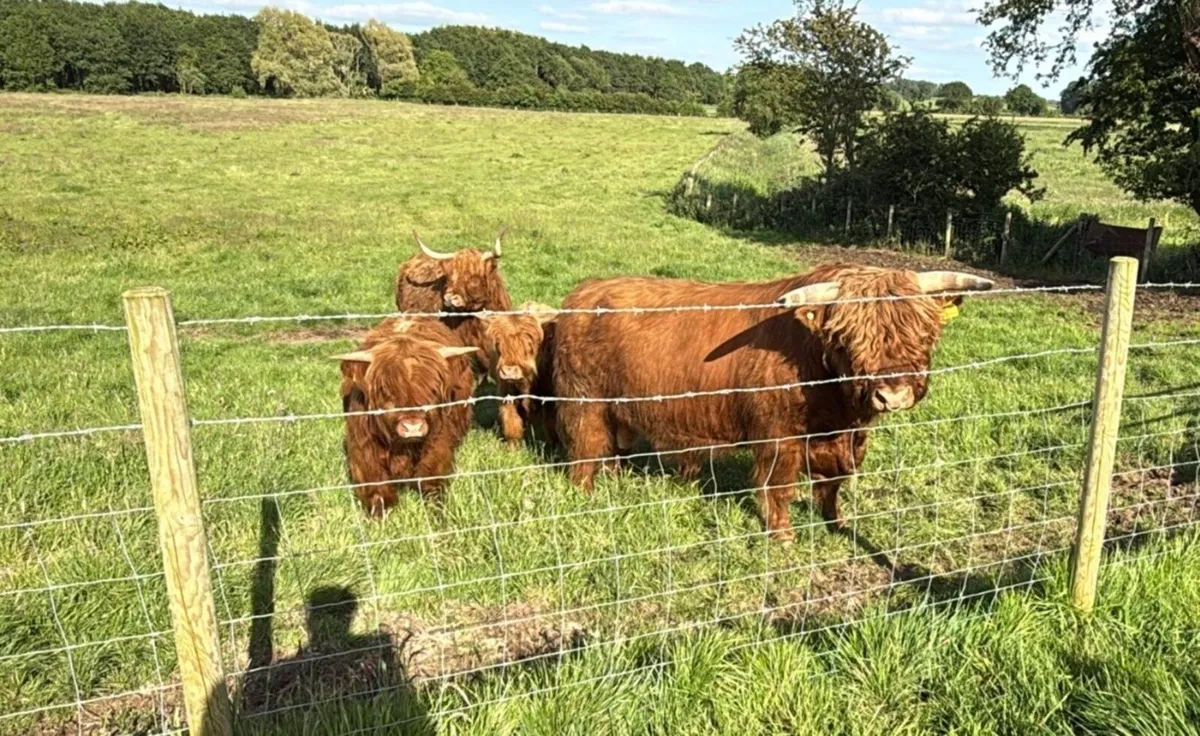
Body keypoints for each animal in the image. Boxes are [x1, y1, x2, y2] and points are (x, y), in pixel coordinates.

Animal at [335, 318, 478, 517]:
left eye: (432, 390)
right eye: (386, 391)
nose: (413, 427)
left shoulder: (438, 443)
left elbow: (432, 483)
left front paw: (437, 514)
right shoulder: (364, 448)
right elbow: (376, 490)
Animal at [479, 302, 559, 448]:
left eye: (529, 344)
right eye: (499, 344)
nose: (509, 371)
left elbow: (551, 424)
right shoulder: (506, 391)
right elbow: (511, 419)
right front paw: (513, 447)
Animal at [551, 263, 993, 540]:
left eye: (924, 332)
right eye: (848, 338)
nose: (893, 394)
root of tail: (582, 293)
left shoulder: (842, 440)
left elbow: (832, 485)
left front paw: (836, 524)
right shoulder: (779, 437)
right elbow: (778, 486)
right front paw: (782, 537)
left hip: (617, 408)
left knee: (613, 447)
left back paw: (613, 482)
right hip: (584, 401)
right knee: (586, 450)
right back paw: (584, 496)